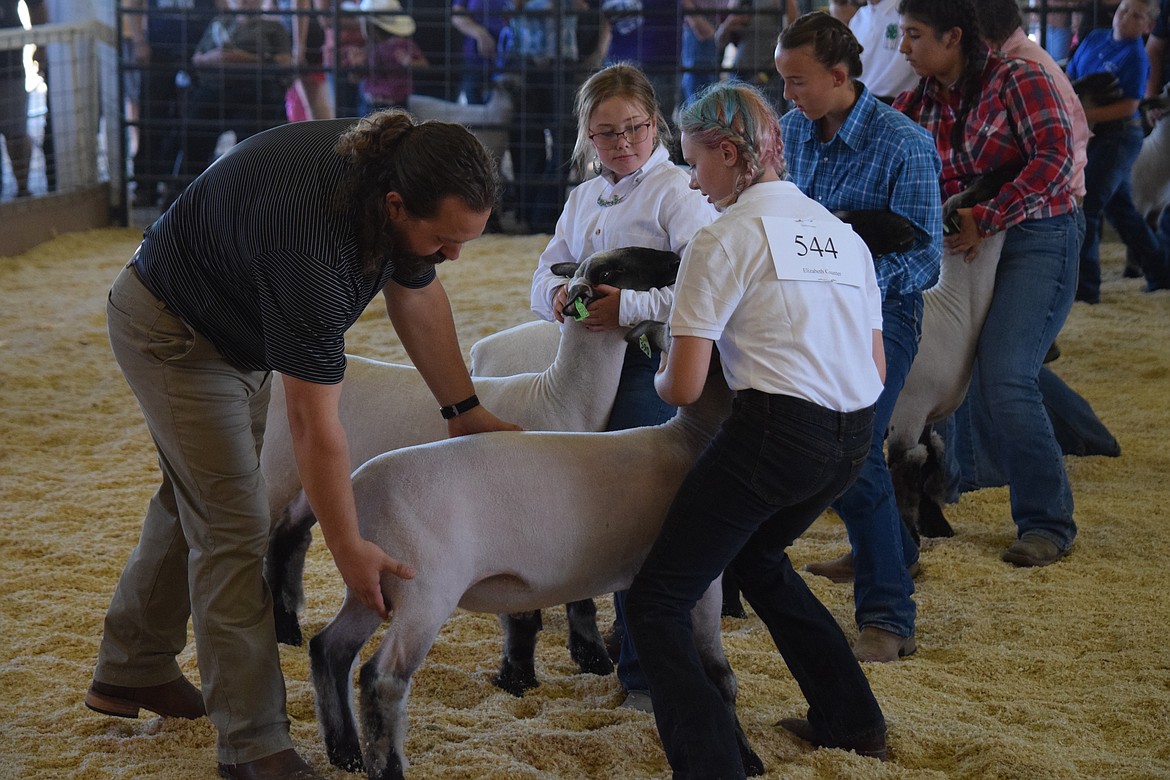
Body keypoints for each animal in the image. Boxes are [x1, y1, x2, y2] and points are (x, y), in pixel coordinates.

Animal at [260, 246, 683, 650]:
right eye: (610, 271)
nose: (676, 259)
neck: (560, 397)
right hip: (275, 471)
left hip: (309, 482)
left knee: (284, 540)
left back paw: (288, 631)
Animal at [306, 355, 762, 780]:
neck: (689, 440)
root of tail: (356, 491)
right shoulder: (701, 580)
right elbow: (719, 676)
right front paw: (746, 757)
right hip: (425, 591)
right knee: (382, 677)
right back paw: (387, 767)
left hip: (370, 586)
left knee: (330, 648)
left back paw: (346, 753)